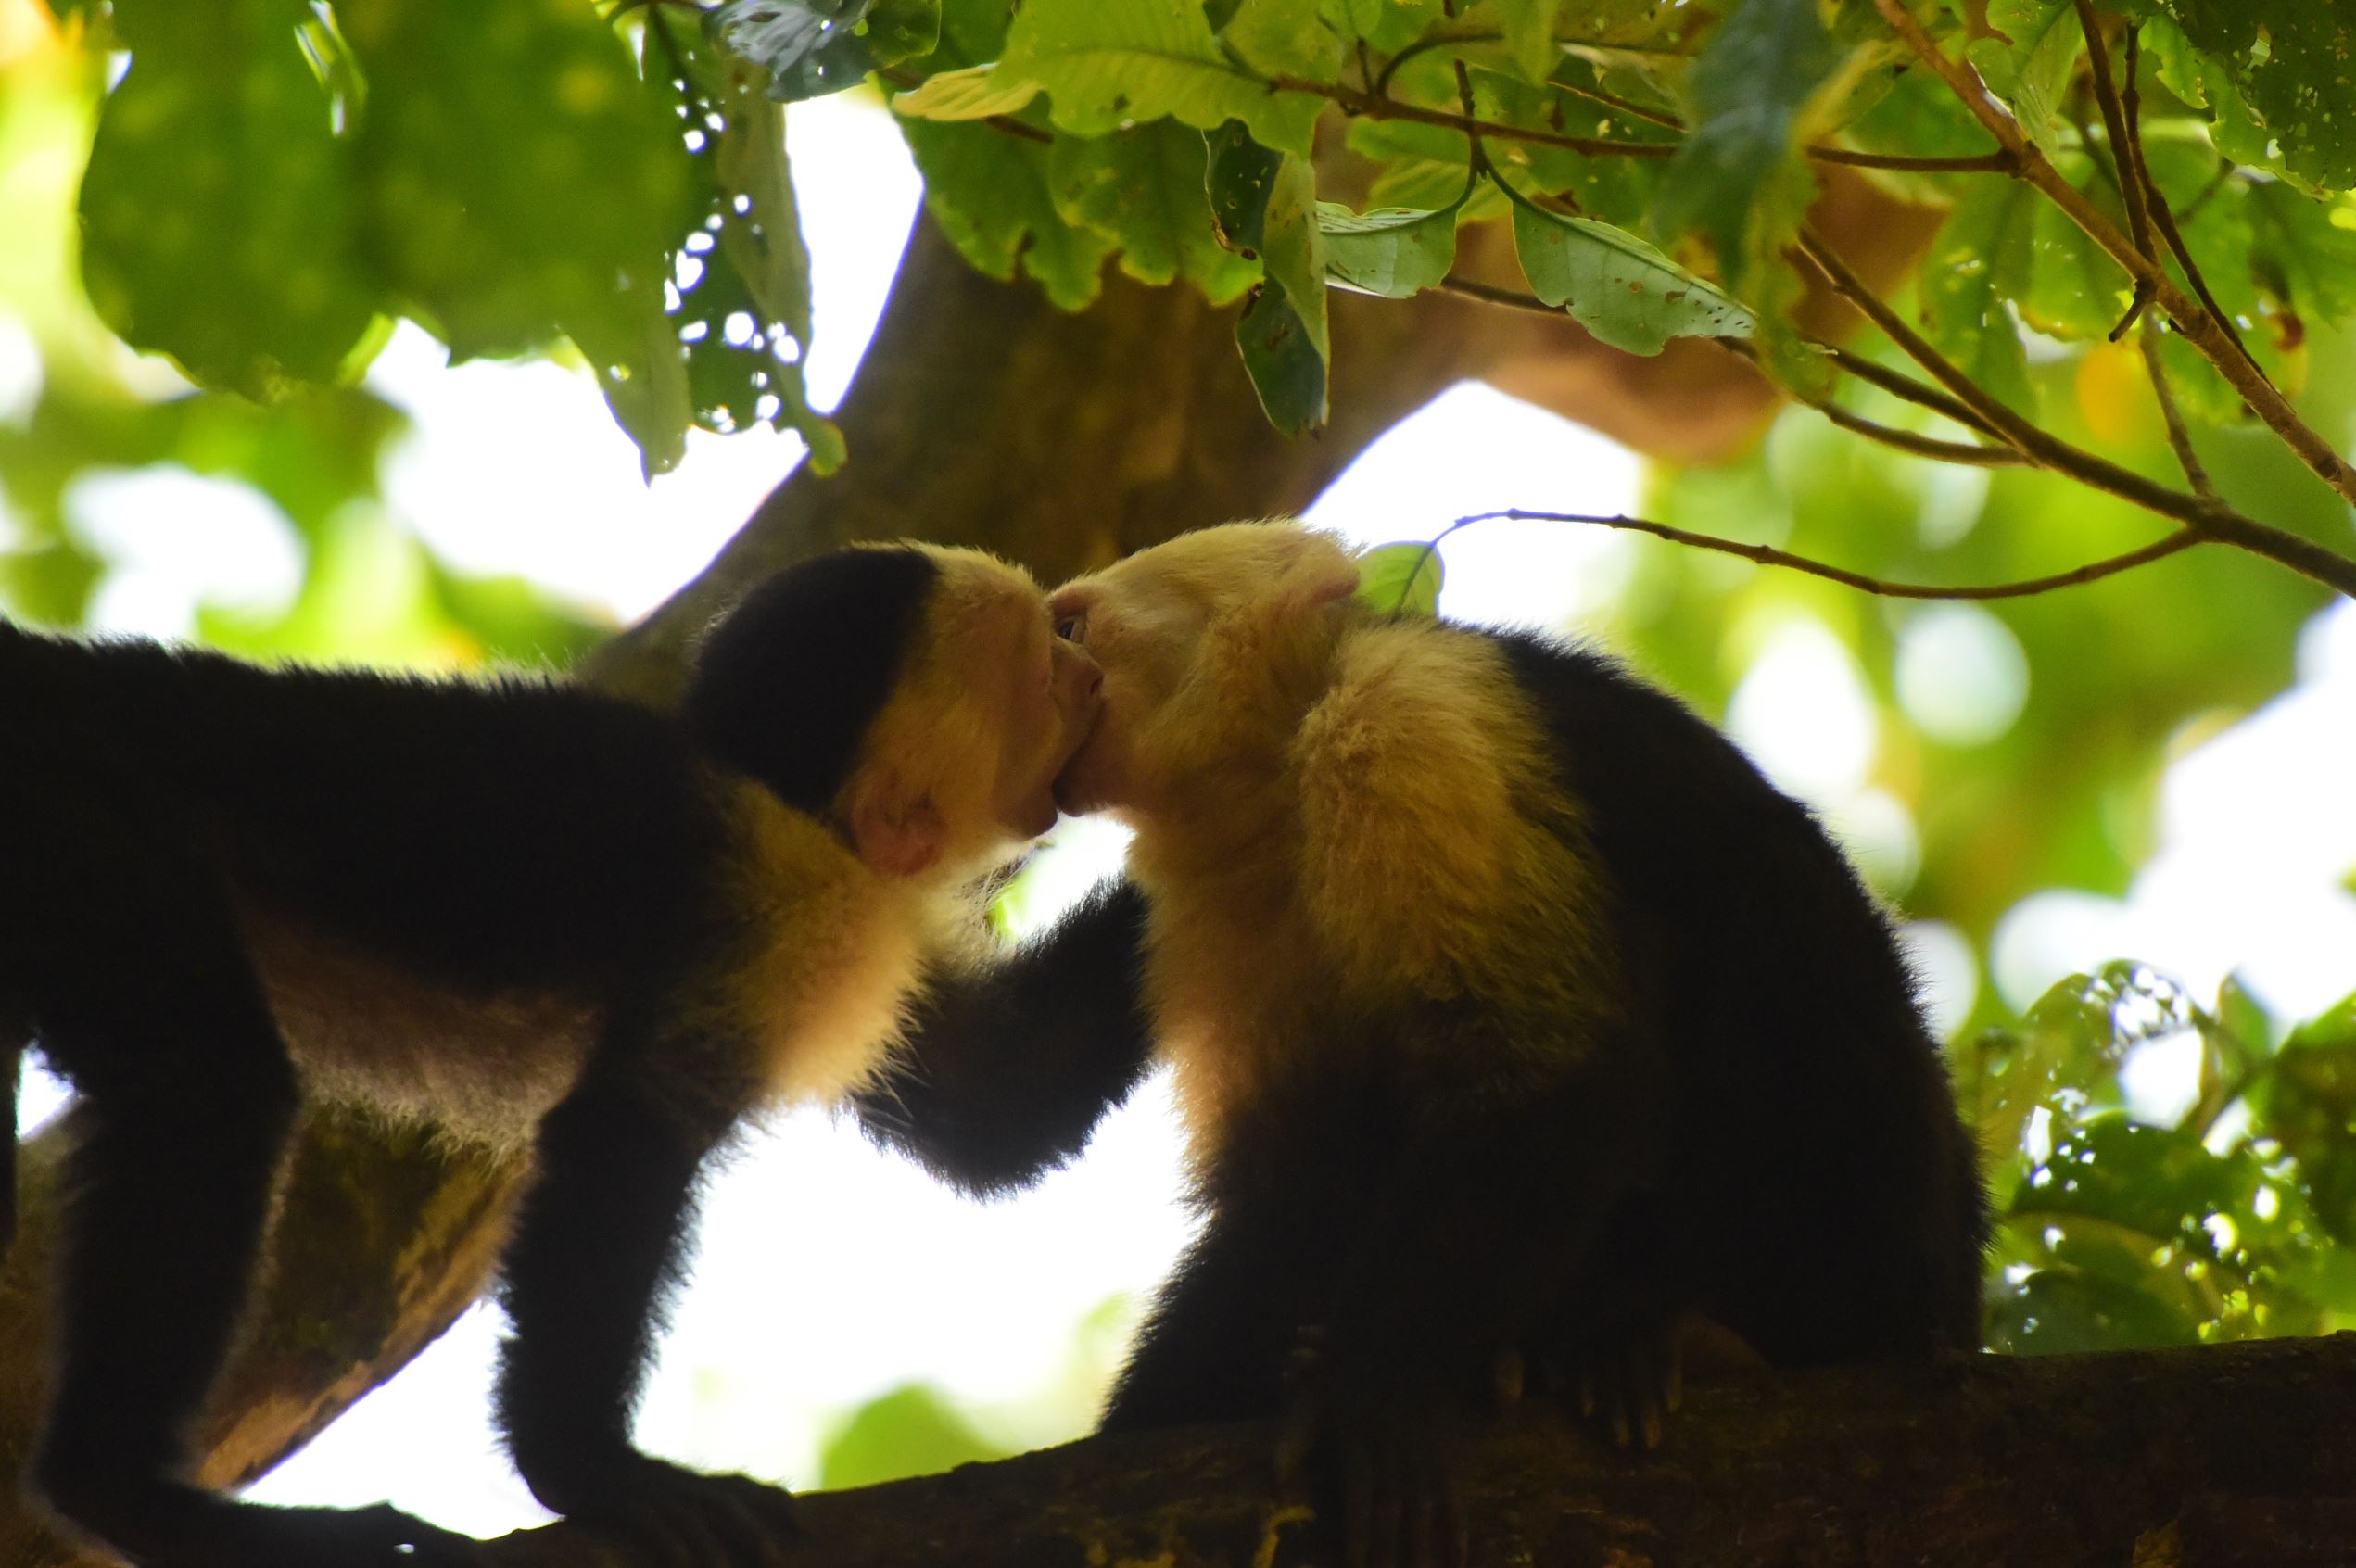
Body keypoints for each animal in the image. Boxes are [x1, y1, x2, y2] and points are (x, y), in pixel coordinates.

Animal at [0, 539, 1103, 1568]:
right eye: (1043, 670)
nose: (1090, 677)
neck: (800, 808)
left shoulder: (871, 935)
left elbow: (1002, 1106)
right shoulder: (785, 909)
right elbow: (626, 1135)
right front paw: (588, 1472)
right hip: (87, 827)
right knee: (211, 1081)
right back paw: (127, 1495)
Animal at [856, 520, 1989, 1568]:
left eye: (1072, 629)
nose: (1051, 697)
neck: (1281, 771)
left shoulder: (1410, 718)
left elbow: (1551, 1082)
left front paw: (1375, 1391)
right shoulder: (1214, 889)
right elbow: (1286, 1190)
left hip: (1877, 1231)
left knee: (1754, 912)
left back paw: (1686, 1334)